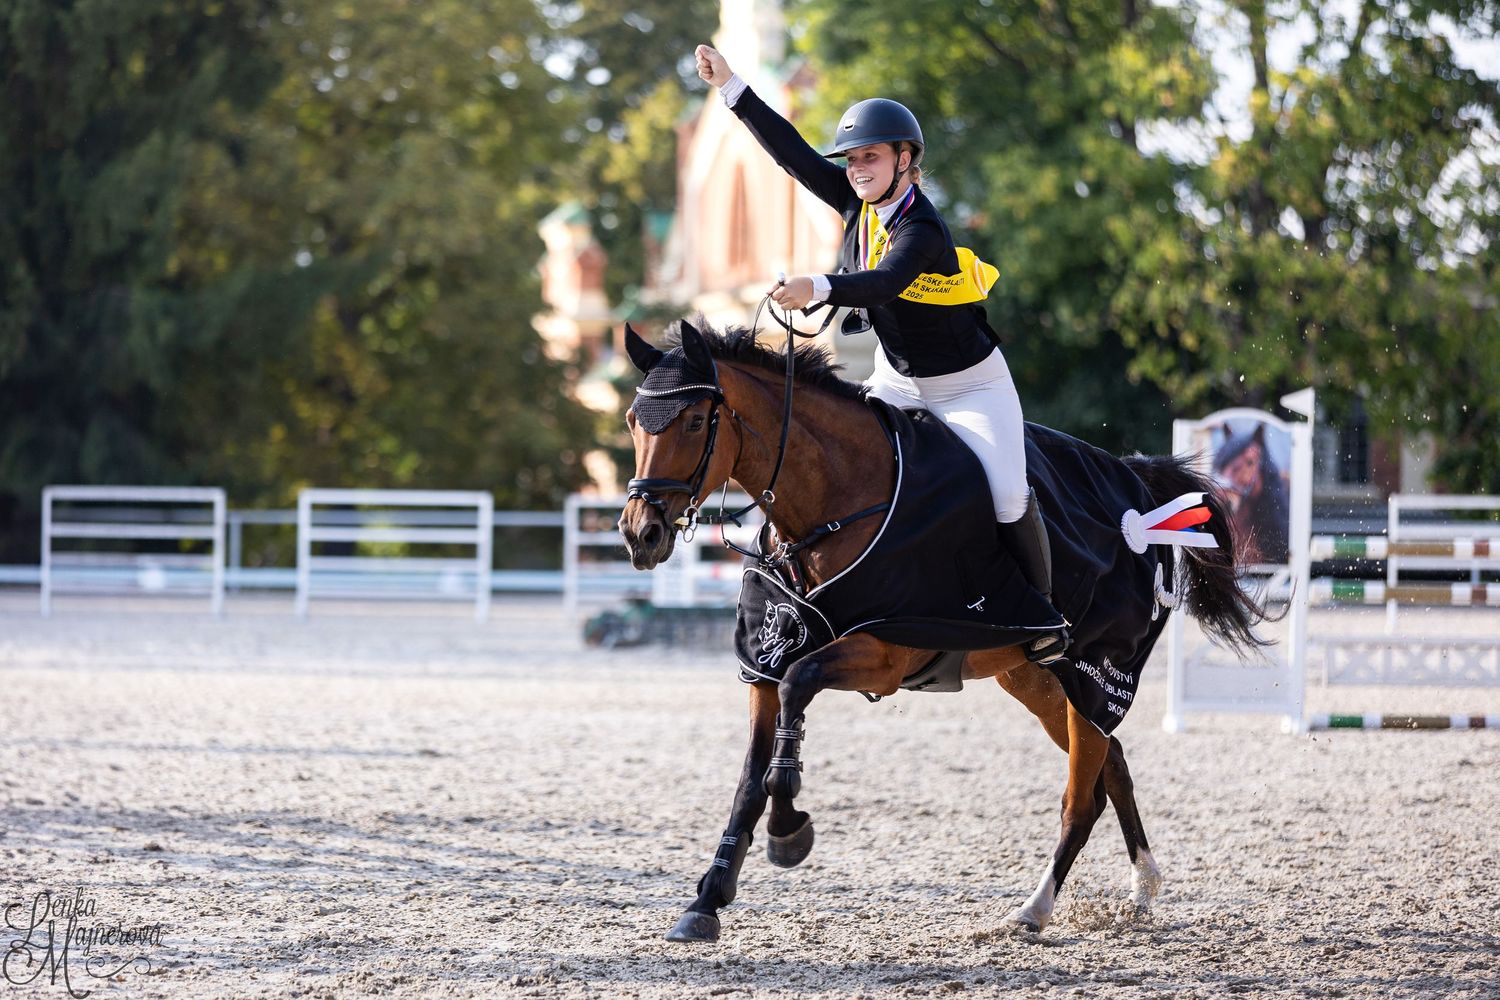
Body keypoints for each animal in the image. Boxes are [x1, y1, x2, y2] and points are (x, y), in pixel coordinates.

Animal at [617, 317, 1267, 943]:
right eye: (632, 422)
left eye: (694, 420)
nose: (639, 533)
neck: (835, 504)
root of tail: (1138, 493)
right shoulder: (765, 661)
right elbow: (749, 779)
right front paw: (707, 901)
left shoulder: (881, 654)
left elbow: (800, 689)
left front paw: (788, 830)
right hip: (1038, 679)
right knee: (1115, 765)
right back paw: (1142, 887)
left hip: (1098, 672)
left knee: (1081, 801)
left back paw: (1033, 912)